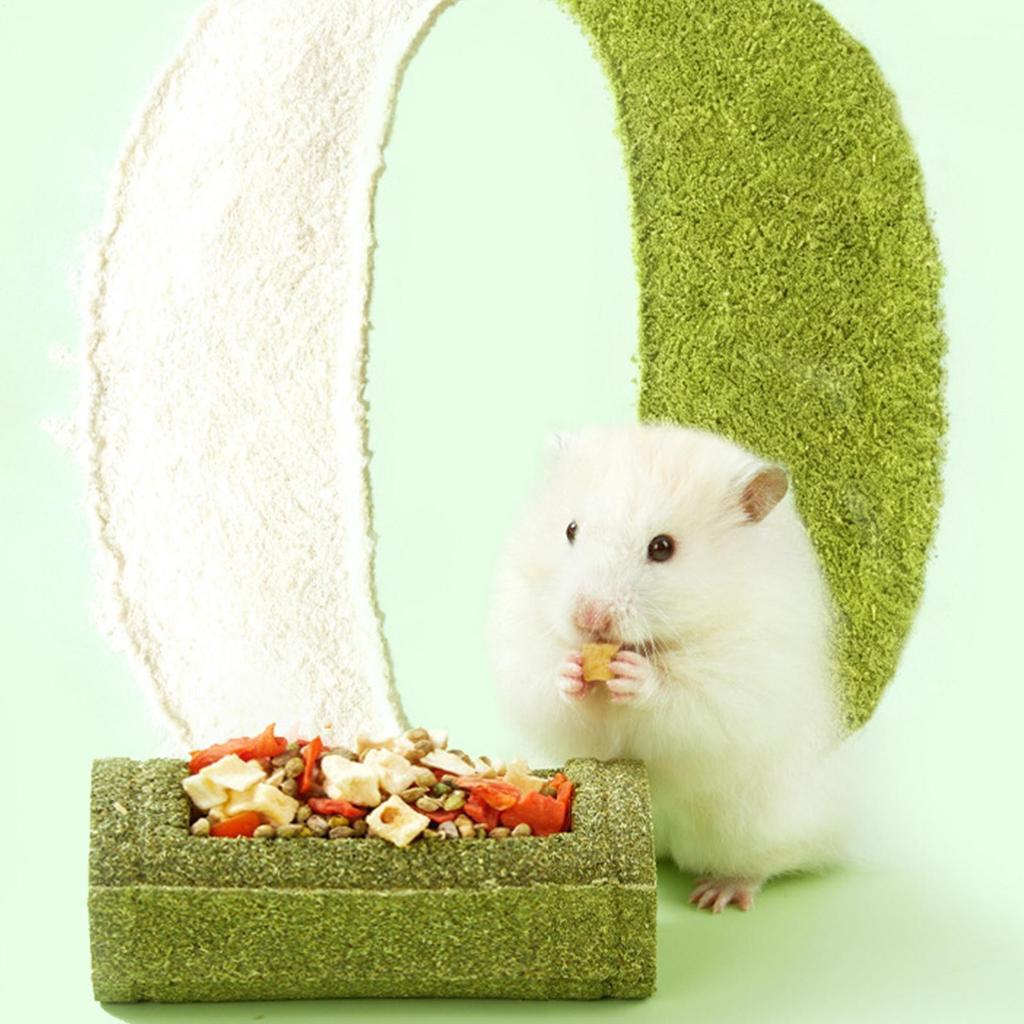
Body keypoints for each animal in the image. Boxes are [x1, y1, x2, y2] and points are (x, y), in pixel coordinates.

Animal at [487, 422, 849, 913]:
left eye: (663, 548)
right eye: (570, 529)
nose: (588, 617)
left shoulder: (737, 680)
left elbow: (681, 697)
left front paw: (634, 676)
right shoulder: (522, 638)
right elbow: (548, 684)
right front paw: (570, 670)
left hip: (757, 823)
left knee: (765, 863)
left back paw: (716, 895)